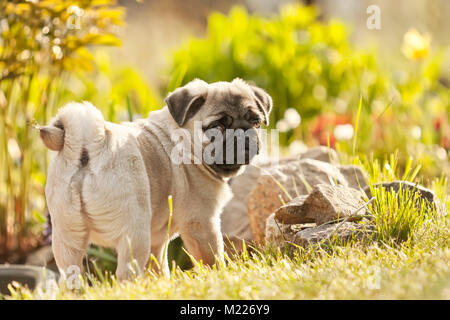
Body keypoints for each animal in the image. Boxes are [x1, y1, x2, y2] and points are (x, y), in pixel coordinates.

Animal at [39, 78, 270, 280]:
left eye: (256, 121)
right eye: (218, 126)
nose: (243, 133)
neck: (183, 140)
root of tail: (90, 145)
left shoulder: (158, 240)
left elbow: (158, 267)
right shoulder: (201, 222)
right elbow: (211, 259)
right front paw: (220, 277)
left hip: (67, 237)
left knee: (71, 274)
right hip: (135, 234)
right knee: (126, 274)